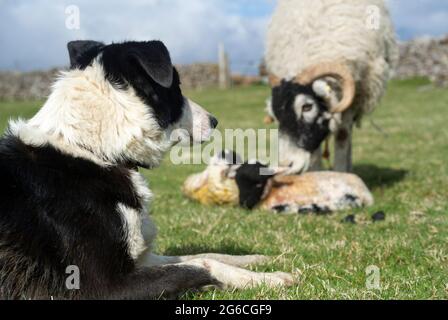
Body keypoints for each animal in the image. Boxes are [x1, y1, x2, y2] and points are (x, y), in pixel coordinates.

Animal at [0, 41, 294, 298]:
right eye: (177, 86)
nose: (214, 121)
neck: (93, 150)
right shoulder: (98, 287)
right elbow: (200, 266)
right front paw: (267, 279)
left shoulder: (139, 260)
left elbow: (200, 256)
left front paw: (253, 260)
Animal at [264, 0, 398, 174]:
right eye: (274, 115)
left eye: (307, 107)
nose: (285, 164)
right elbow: (315, 151)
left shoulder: (351, 99)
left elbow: (342, 136)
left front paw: (342, 173)